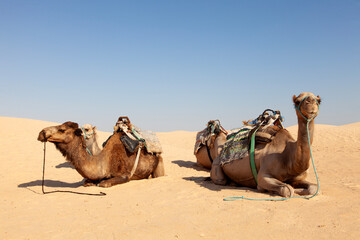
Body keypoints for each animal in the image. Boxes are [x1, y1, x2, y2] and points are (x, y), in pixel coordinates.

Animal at [37, 121, 165, 187]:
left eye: (62, 130)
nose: (41, 132)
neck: (104, 160)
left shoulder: (125, 175)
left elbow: (104, 184)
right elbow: (87, 182)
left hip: (159, 162)